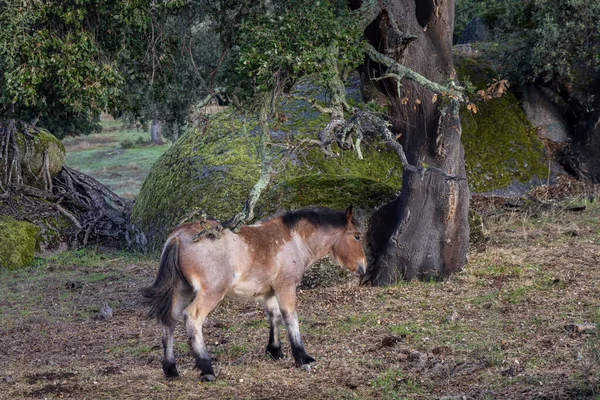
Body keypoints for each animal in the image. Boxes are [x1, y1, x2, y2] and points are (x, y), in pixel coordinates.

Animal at [141, 206, 368, 382]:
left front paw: (275, 350)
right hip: (210, 292)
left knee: (169, 320)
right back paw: (206, 369)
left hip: (181, 290)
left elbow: (274, 317)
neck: (293, 239)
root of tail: (179, 236)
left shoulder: (269, 292)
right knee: (193, 317)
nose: (363, 268)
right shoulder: (286, 287)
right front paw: (302, 357)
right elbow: (290, 317)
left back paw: (171, 369)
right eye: (357, 236)